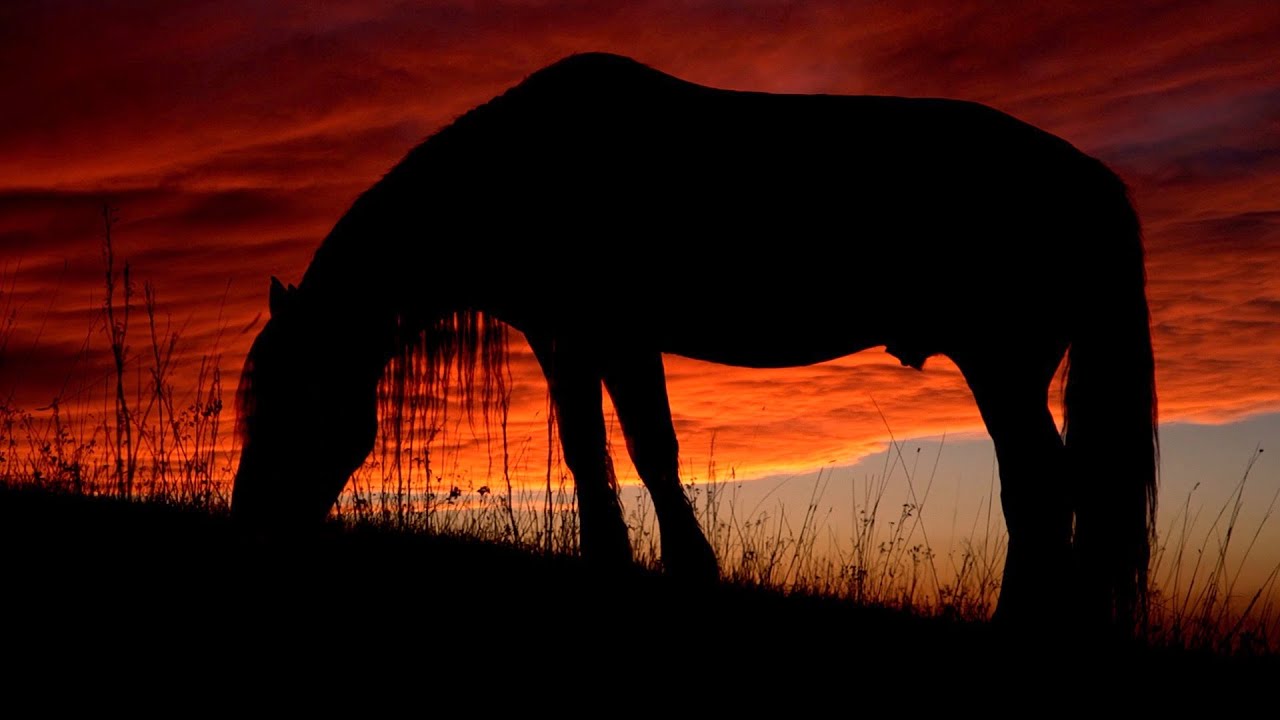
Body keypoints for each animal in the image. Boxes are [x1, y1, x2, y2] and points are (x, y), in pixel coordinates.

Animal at [233, 53, 1157, 630]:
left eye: (293, 402)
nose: (246, 524)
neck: (525, 172)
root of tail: (1095, 182)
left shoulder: (611, 334)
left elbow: (639, 449)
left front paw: (663, 568)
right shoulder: (573, 341)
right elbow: (605, 452)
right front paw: (640, 565)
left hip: (1002, 364)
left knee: (1041, 490)